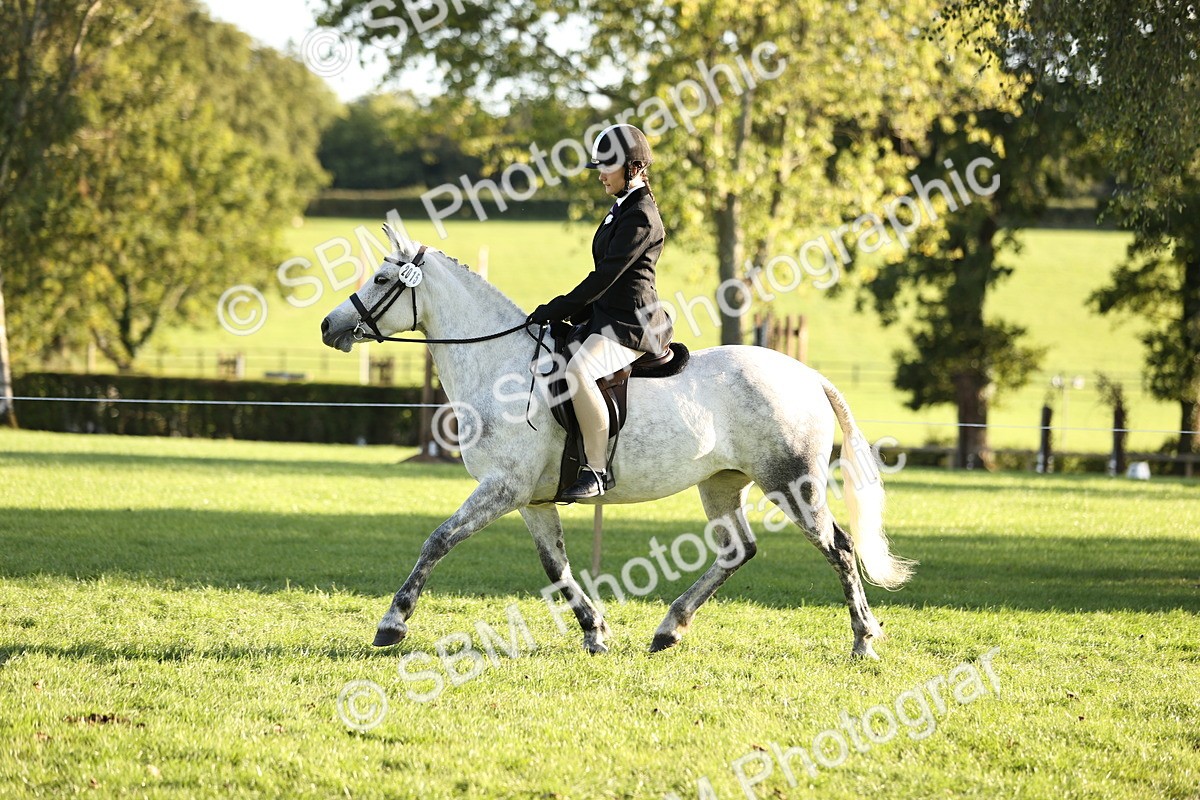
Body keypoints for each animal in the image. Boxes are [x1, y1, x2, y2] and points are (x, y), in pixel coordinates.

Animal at [319, 226, 914, 659]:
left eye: (381, 278)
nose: (329, 326)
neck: (502, 366)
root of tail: (807, 376)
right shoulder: (530, 499)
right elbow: (556, 569)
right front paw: (594, 630)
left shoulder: (501, 488)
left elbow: (438, 541)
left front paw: (392, 624)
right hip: (722, 483)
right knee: (737, 550)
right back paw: (669, 629)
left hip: (791, 481)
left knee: (839, 548)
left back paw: (863, 640)